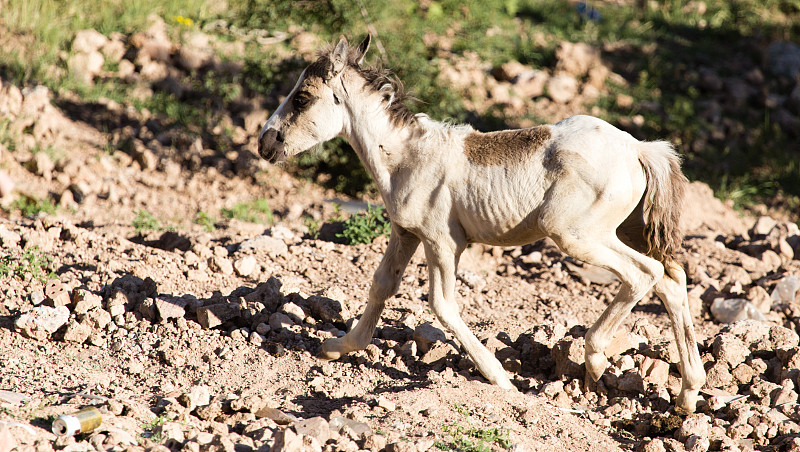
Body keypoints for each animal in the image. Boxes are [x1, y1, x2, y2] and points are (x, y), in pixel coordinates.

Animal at [258, 35, 708, 414]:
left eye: (302, 98)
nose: (265, 143)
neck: (405, 157)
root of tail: (640, 149)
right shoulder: (406, 233)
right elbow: (381, 285)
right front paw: (337, 346)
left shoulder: (442, 242)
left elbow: (442, 304)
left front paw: (500, 380)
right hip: (628, 231)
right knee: (672, 279)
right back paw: (687, 394)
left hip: (575, 234)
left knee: (644, 273)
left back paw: (596, 359)